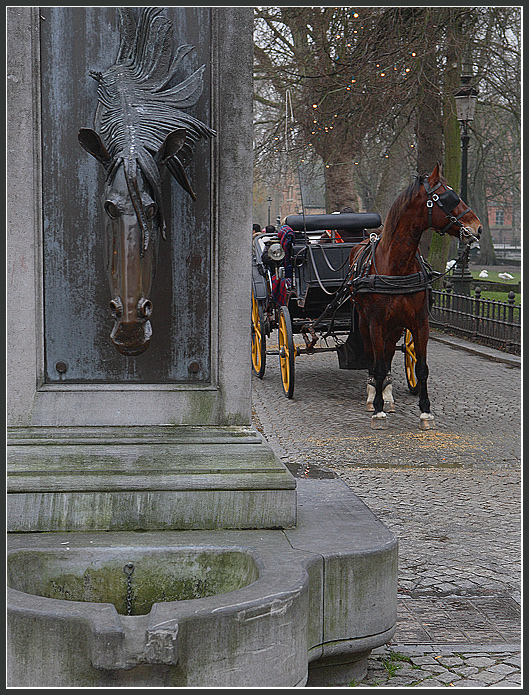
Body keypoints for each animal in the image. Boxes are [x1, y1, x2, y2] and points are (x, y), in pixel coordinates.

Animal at [350, 166, 482, 430]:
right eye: (448, 198)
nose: (478, 228)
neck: (397, 266)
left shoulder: (420, 323)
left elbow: (421, 368)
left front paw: (425, 411)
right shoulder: (376, 323)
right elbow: (377, 365)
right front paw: (377, 410)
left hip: (395, 326)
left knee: (388, 353)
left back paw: (388, 394)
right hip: (365, 322)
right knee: (372, 356)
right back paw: (373, 396)